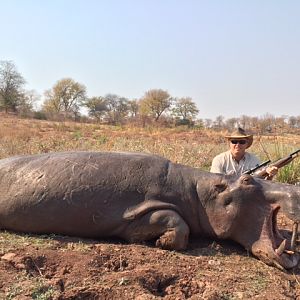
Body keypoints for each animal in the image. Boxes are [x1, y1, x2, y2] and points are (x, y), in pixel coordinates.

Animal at [0, 151, 298, 270]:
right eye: (247, 180)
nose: (294, 190)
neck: (199, 192)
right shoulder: (142, 209)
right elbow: (175, 222)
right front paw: (160, 242)